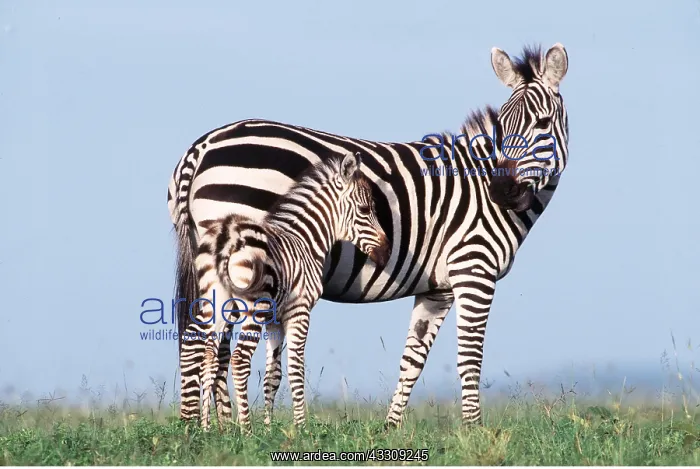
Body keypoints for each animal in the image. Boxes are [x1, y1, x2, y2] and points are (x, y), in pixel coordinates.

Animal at [191, 152, 390, 430]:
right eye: (365, 210)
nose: (386, 252)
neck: (306, 240)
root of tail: (225, 234)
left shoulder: (275, 319)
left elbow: (272, 375)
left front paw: (269, 427)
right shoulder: (299, 310)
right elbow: (296, 369)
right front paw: (300, 427)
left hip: (216, 303)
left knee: (208, 355)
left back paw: (206, 427)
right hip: (253, 306)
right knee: (239, 359)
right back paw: (246, 430)